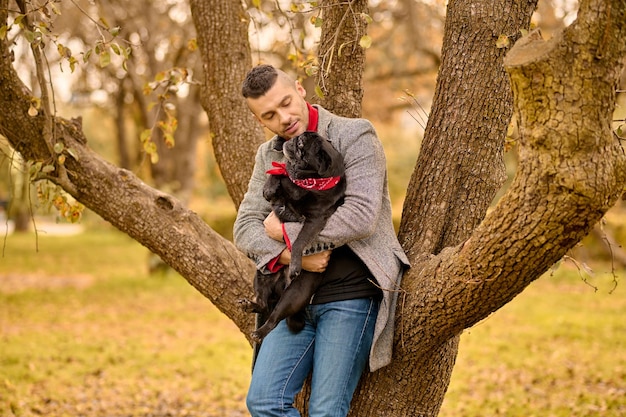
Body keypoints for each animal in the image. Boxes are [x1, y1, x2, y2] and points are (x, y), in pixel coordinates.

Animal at [240, 132, 346, 342]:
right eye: (300, 138)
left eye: (302, 144)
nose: (294, 139)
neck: (308, 182)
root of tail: (281, 286)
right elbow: (279, 172)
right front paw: (269, 188)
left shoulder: (313, 221)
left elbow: (297, 242)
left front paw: (295, 264)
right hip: (262, 275)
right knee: (263, 304)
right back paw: (250, 305)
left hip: (294, 295)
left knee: (274, 317)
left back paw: (260, 332)